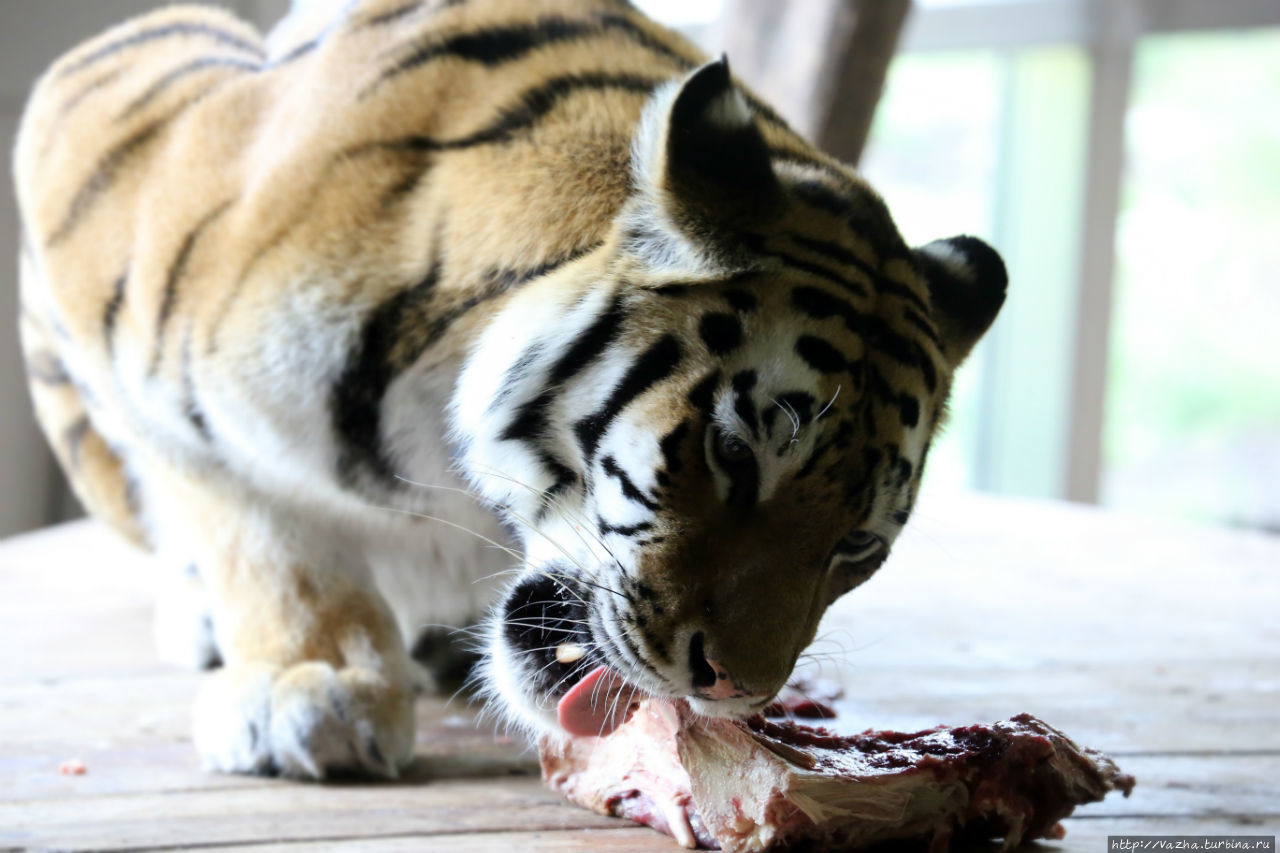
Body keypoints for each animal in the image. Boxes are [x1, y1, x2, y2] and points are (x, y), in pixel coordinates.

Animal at [15, 0, 1003, 773]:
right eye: (733, 453)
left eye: (859, 545)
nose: (739, 690)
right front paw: (316, 683)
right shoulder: (105, 114)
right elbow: (246, 510)